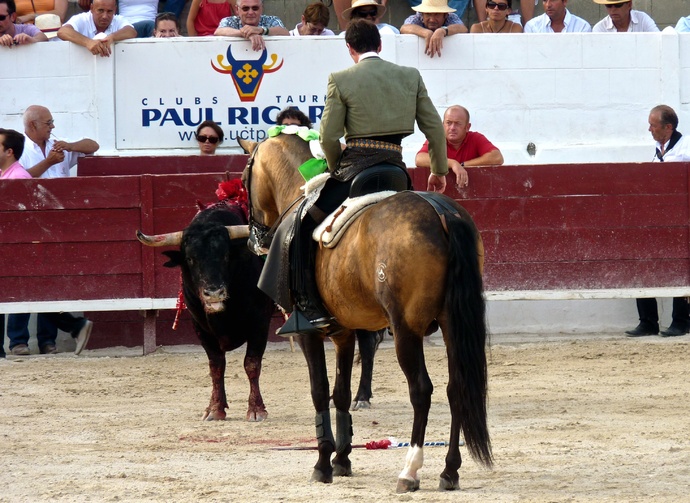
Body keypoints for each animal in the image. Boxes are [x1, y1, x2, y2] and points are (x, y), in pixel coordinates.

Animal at [137, 180, 274, 421]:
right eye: (190, 259)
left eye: (226, 256)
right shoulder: (200, 327)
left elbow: (252, 363)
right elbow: (216, 366)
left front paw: (256, 409)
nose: (214, 293)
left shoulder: (260, 321)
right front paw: (215, 408)